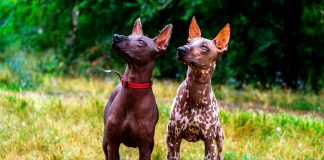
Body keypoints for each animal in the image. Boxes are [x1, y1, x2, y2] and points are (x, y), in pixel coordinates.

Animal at [103, 18, 173, 159]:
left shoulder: (145, 147)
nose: (116, 36)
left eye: (141, 42)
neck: (133, 88)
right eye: (129, 36)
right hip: (105, 142)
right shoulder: (113, 144)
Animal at [167, 16, 230, 159]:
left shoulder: (209, 142)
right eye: (188, 41)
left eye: (204, 46)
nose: (181, 49)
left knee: (220, 153)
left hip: (220, 138)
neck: (196, 92)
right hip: (168, 139)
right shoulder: (175, 139)